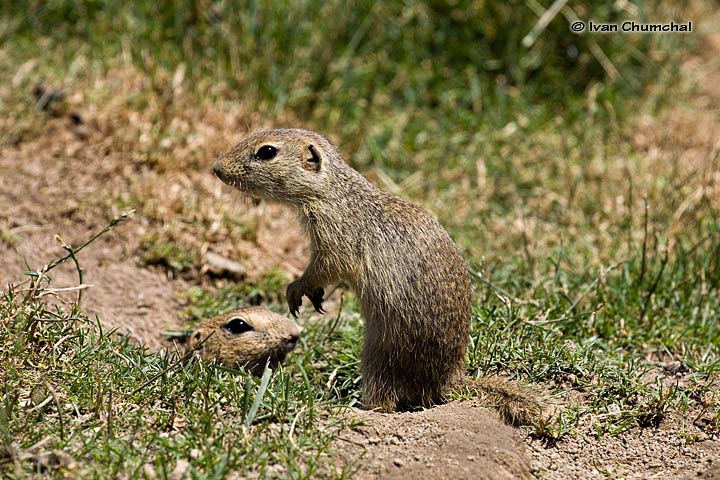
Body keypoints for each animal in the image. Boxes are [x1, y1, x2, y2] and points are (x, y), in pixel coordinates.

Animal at [211, 128, 544, 424]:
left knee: (385, 402)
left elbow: (324, 268)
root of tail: (451, 379)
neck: (336, 193)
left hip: (377, 358)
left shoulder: (333, 239)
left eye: (267, 151)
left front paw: (296, 290)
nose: (216, 168)